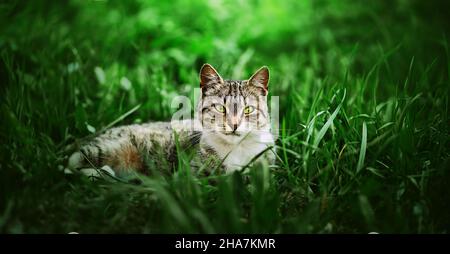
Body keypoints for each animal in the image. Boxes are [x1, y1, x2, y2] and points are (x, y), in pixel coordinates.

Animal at [67, 63, 274, 178]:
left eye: (248, 109)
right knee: (69, 163)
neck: (236, 149)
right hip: (107, 148)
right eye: (220, 108)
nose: (234, 124)